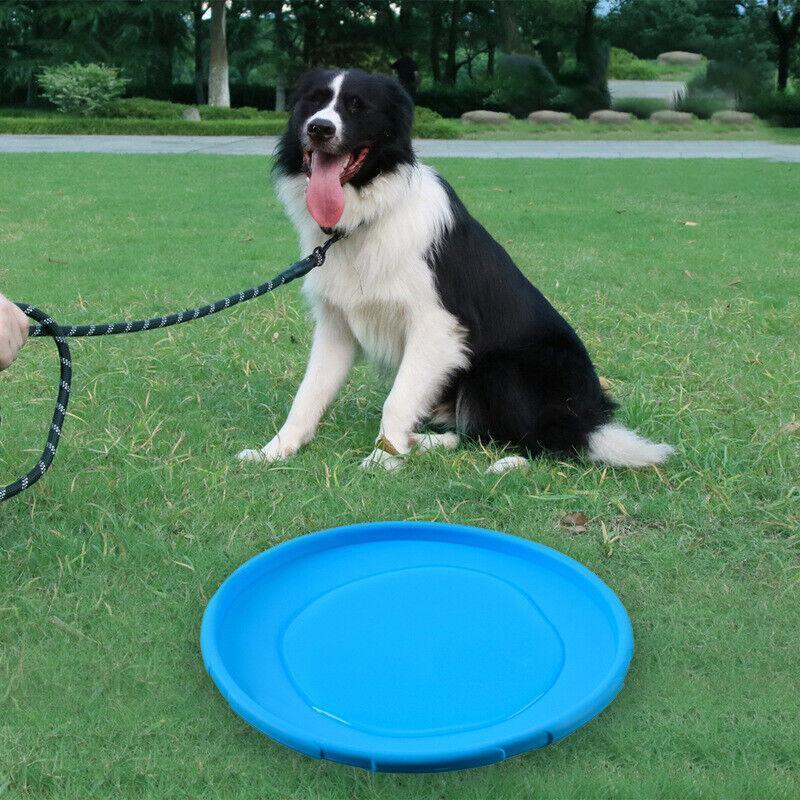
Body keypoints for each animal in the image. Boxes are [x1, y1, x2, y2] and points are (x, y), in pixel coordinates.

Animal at [234, 69, 672, 472]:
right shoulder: (337, 326)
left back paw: (498, 461)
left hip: (503, 371)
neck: (365, 219)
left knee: (541, 440)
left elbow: (397, 399)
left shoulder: (438, 326)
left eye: (357, 106)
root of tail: (589, 417)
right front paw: (275, 450)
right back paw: (424, 441)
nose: (319, 128)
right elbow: (308, 394)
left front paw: (383, 458)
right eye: (314, 101)